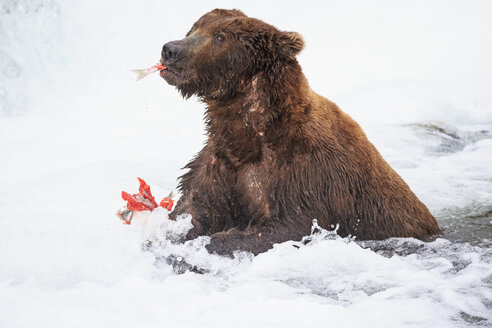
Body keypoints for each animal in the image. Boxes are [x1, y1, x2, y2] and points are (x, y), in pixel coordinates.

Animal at [160, 7, 440, 254]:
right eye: (195, 27)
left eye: (220, 37)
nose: (170, 50)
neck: (250, 133)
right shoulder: (219, 161)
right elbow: (194, 206)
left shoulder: (303, 174)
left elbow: (289, 227)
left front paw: (215, 240)